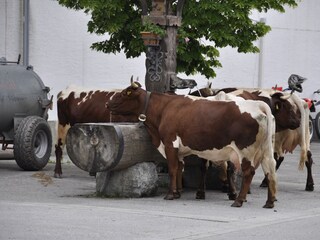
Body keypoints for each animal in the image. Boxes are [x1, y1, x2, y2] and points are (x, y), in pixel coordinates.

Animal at [108, 81, 278, 207]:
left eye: (124, 94)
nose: (108, 103)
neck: (164, 108)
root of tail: (257, 105)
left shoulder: (170, 143)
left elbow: (172, 169)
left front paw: (170, 194)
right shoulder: (179, 149)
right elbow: (179, 169)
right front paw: (177, 192)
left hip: (245, 151)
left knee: (249, 172)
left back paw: (238, 200)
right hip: (266, 149)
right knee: (269, 169)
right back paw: (269, 202)